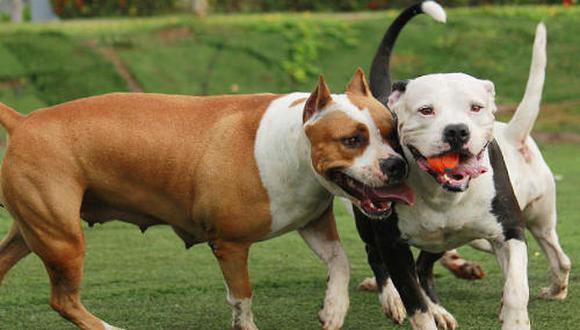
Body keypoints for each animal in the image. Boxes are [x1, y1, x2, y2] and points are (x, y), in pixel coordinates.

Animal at [0, 68, 414, 328]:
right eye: (352, 139)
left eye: (392, 133)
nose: (396, 165)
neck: (294, 145)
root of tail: (24, 120)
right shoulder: (230, 245)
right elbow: (242, 300)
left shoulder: (312, 222)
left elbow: (340, 261)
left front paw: (334, 309)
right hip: (63, 240)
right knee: (63, 300)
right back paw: (107, 327)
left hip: (34, 231)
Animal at [346, 1, 568, 328]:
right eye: (425, 110)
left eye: (476, 107)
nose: (456, 131)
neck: (444, 195)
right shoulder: (393, 245)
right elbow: (414, 303)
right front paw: (415, 307)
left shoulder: (510, 231)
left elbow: (516, 289)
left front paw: (514, 318)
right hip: (370, 216)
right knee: (376, 254)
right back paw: (392, 299)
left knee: (424, 267)